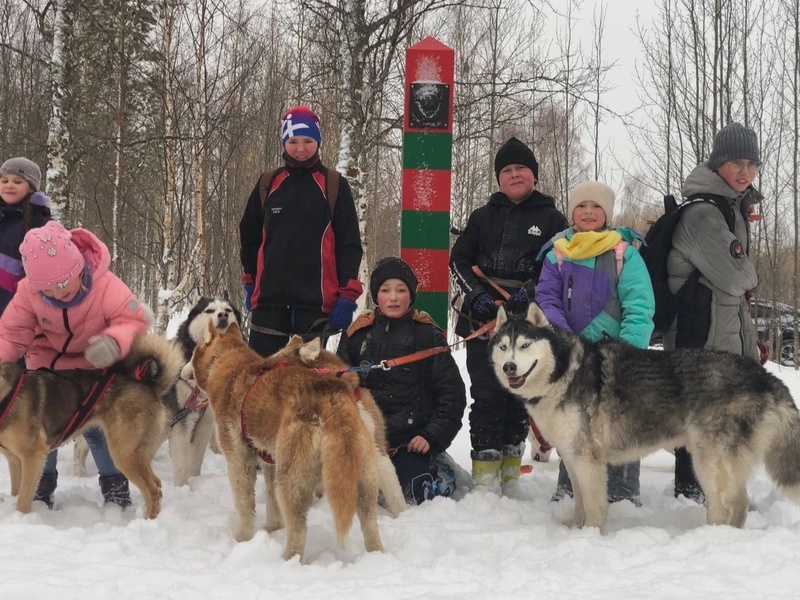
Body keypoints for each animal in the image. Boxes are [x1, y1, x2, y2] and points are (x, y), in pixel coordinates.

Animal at [0, 336, 183, 516]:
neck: (6, 396)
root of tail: (149, 386)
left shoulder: (33, 457)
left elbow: (23, 500)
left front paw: (22, 518)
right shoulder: (15, 460)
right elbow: (16, 492)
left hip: (125, 453)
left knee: (153, 490)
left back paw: (147, 520)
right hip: (135, 454)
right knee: (157, 483)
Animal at [185, 322, 404, 560]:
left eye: (193, 352)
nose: (183, 370)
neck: (231, 368)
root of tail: (332, 398)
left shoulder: (238, 458)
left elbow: (244, 505)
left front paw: (242, 539)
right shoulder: (270, 459)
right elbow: (271, 500)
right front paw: (272, 528)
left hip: (292, 481)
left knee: (299, 532)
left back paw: (286, 560)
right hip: (365, 478)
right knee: (371, 525)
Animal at [490, 304, 800, 528]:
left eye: (526, 345)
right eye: (503, 347)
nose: (509, 367)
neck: (563, 372)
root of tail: (766, 376)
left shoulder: (587, 459)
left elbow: (593, 504)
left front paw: (590, 534)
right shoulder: (572, 456)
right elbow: (578, 501)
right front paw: (575, 528)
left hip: (709, 461)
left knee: (727, 504)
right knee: (737, 502)